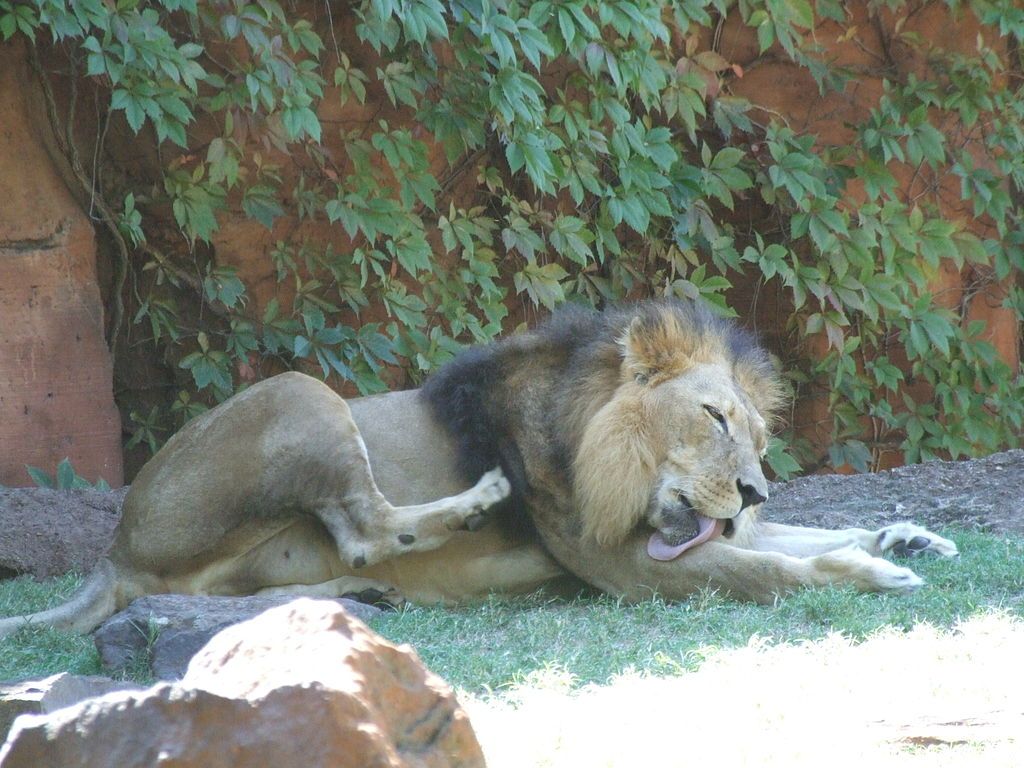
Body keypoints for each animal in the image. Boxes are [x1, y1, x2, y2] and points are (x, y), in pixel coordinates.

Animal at [0, 299, 957, 638]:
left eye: (759, 438)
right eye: (713, 416)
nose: (755, 486)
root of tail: (114, 546)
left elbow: (805, 532)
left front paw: (908, 535)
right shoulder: (621, 565)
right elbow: (771, 570)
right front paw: (875, 573)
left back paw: (366, 596)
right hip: (301, 390)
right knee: (364, 527)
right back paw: (473, 501)